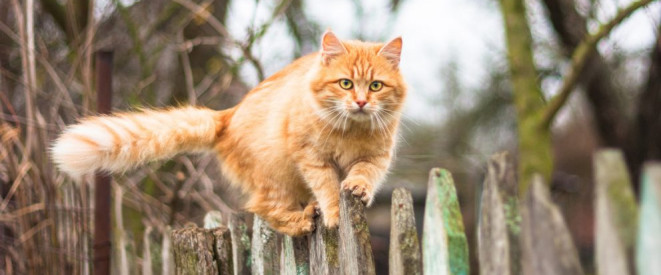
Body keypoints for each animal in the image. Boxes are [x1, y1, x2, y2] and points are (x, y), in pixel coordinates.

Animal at [51, 31, 404, 236]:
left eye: (376, 86)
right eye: (345, 83)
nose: (361, 102)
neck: (351, 131)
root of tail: (229, 115)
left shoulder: (377, 158)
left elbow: (363, 174)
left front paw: (358, 188)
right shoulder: (312, 158)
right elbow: (328, 188)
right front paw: (333, 214)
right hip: (275, 177)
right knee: (265, 209)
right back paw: (303, 220)